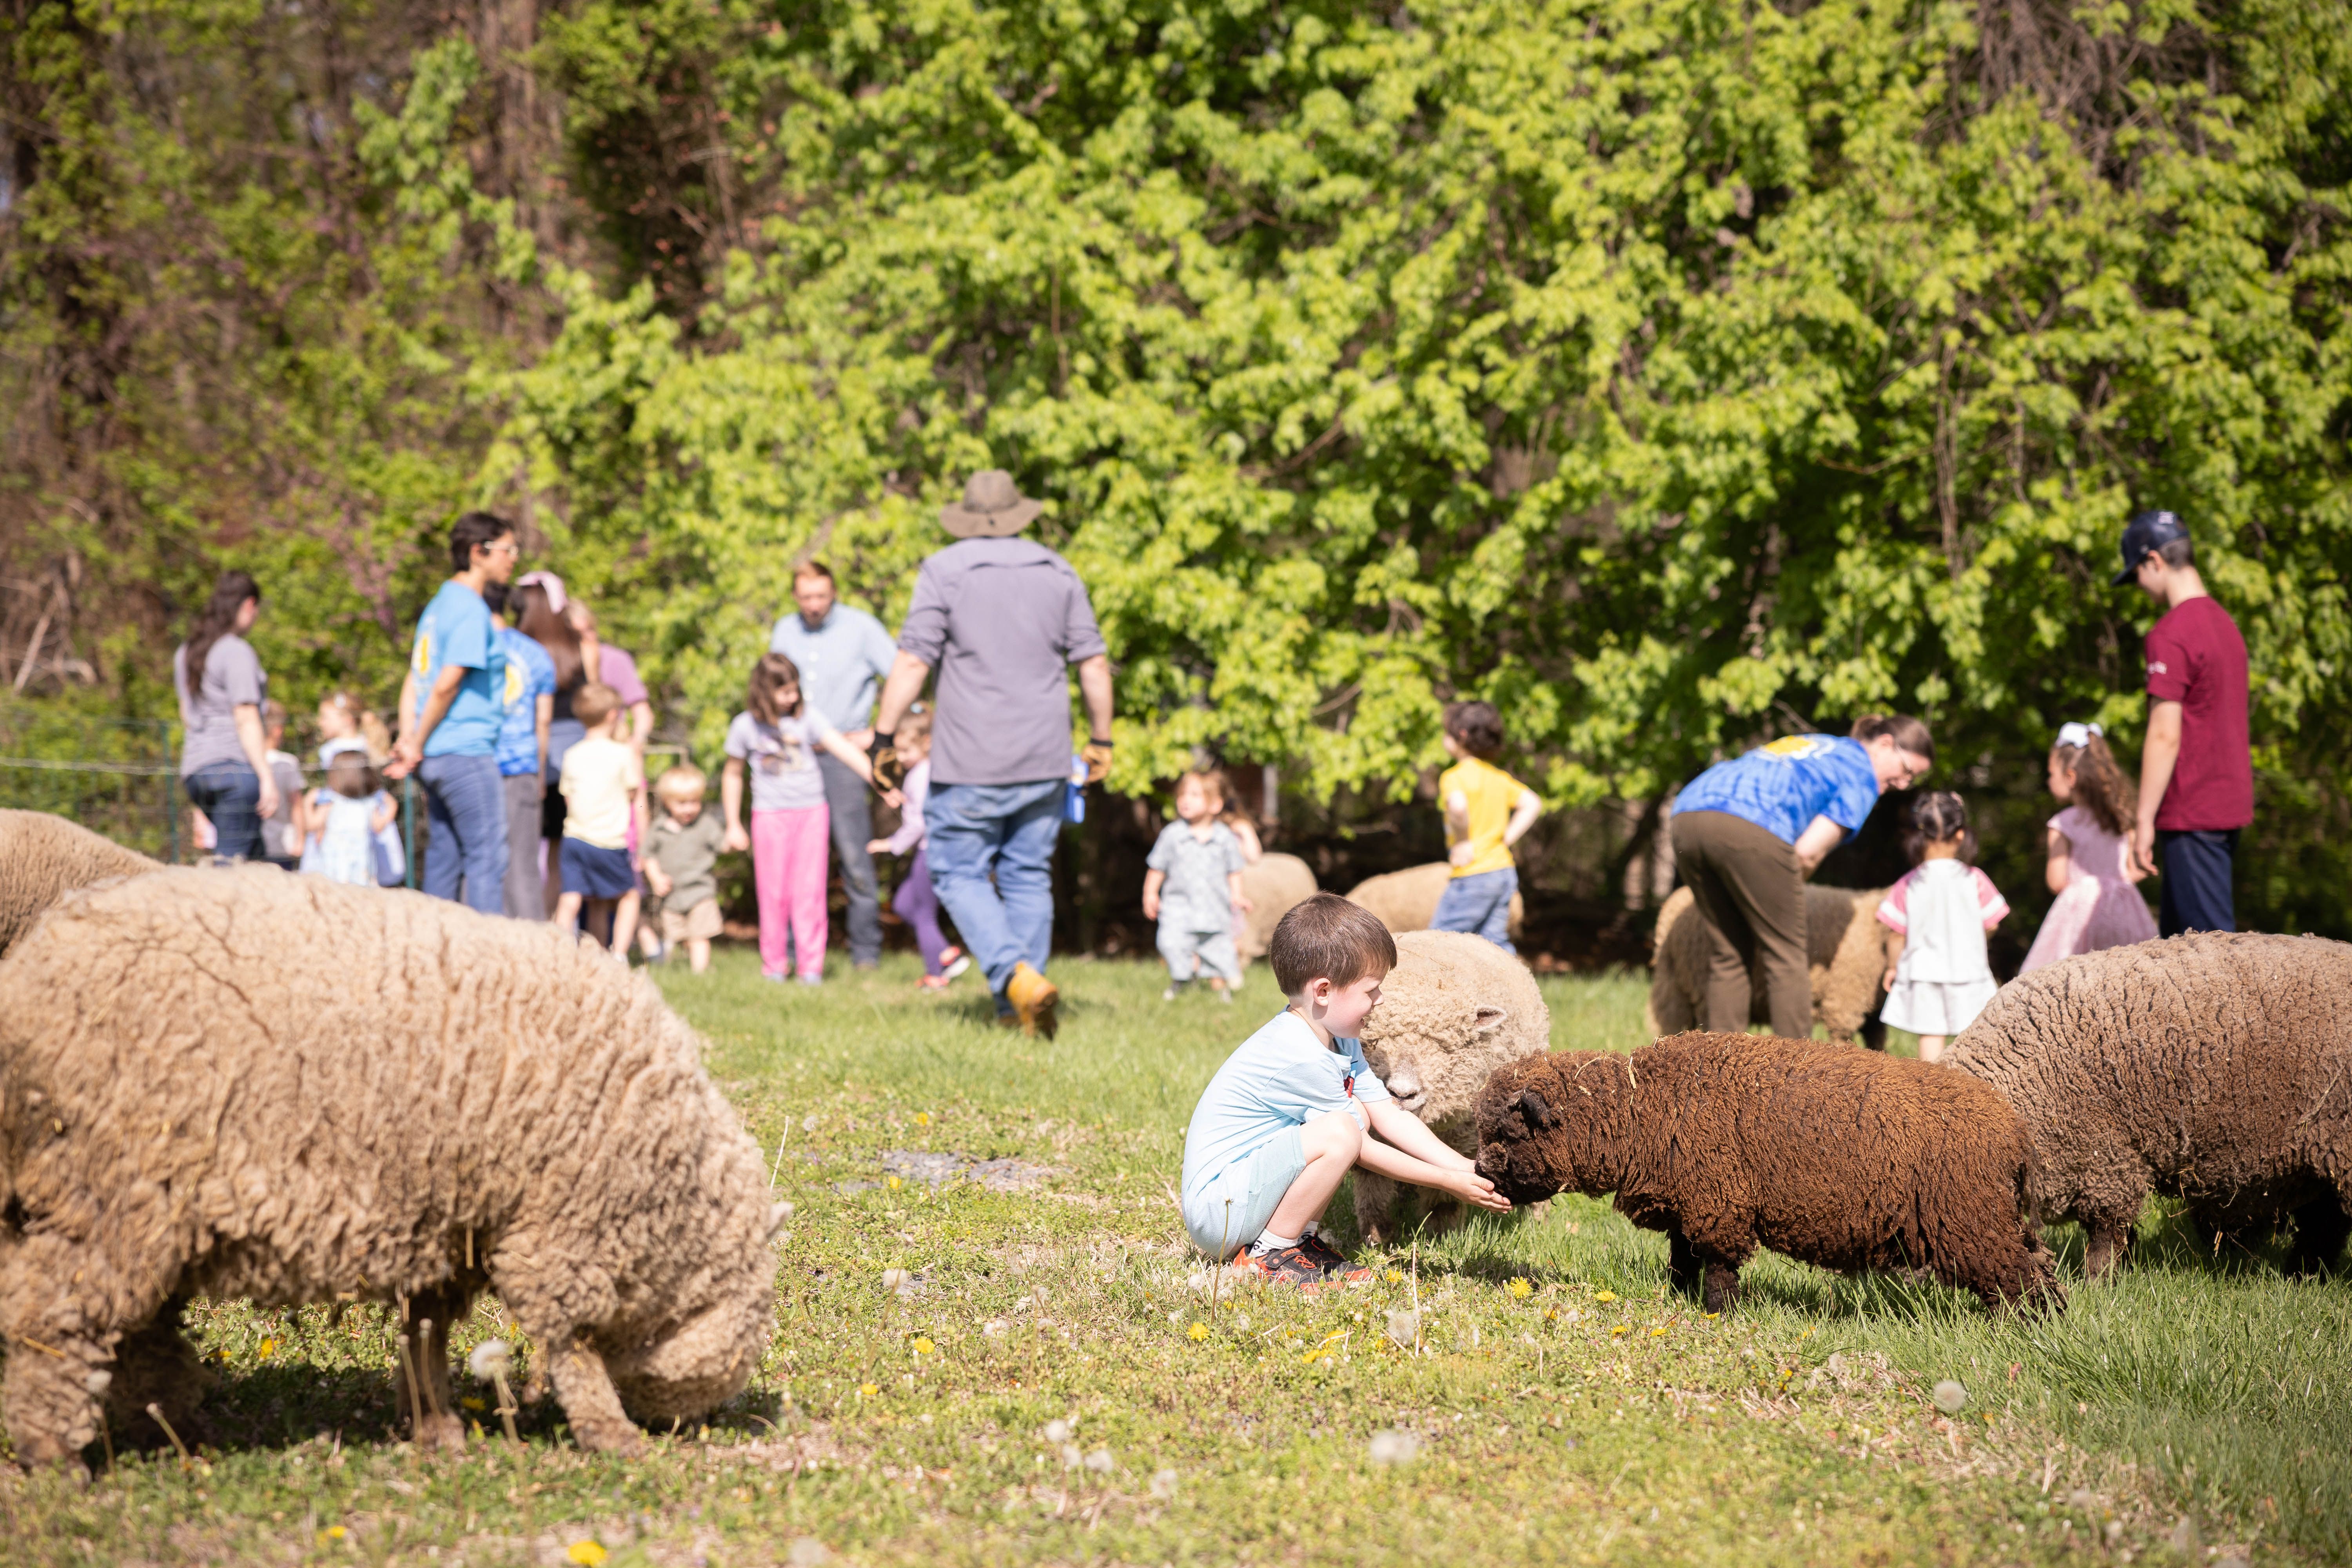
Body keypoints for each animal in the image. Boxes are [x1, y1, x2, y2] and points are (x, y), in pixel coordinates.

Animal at [0, 866, 779, 1470]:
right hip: (111, 1190)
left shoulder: (447, 1224)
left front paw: (436, 1430)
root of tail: (25, 981)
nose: (680, 1426)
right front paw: (610, 1436)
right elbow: (573, 1346)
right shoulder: (560, 1229)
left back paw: (176, 1429)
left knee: (137, 1331)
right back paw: (57, 1456)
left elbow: (424, 1334)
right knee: (53, 1315)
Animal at [1350, 930, 1551, 1244]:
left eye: (1445, 1047)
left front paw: (1441, 1236)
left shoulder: (1460, 1135)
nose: (1402, 1094)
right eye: (1371, 1042)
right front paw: (1376, 1237)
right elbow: (1372, 1184)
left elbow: (1443, 1197)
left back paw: (1538, 1221)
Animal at [1474, 1032, 2063, 1315]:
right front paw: (1679, 1298)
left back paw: (2019, 1331)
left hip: (1969, 1221)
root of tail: (2016, 1133)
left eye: (1509, 1133)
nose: (1480, 1171)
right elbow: (1682, 1258)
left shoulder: (1718, 1204)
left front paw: (1720, 1314)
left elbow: (1715, 1266)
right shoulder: (1690, 1203)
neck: (1642, 1106)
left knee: (2017, 1279)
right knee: (2040, 1267)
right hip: (1996, 1218)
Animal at [1644, 883, 1889, 1046]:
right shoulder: (1845, 999)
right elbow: (1842, 1038)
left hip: (1672, 987)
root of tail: (1672, 905)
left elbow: (1877, 1042)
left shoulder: (1873, 1016)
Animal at [1949, 932, 2352, 1280]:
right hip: (2319, 1159)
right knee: (2325, 1224)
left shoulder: (2106, 1162)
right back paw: (2304, 1275)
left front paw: (2100, 1287)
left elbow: (2105, 1239)